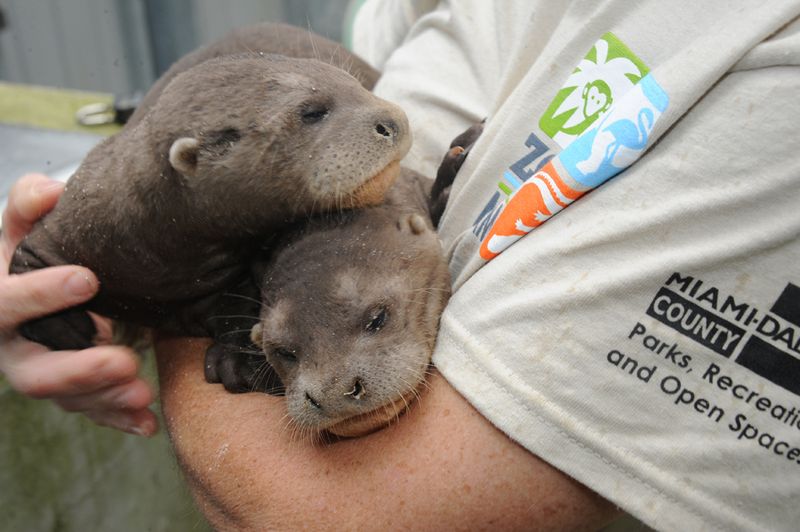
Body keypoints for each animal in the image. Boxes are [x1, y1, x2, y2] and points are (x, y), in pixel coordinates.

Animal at [10, 25, 410, 351]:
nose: (395, 119)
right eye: (311, 112)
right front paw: (63, 328)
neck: (156, 254)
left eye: (357, 84)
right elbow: (24, 263)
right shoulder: (72, 222)